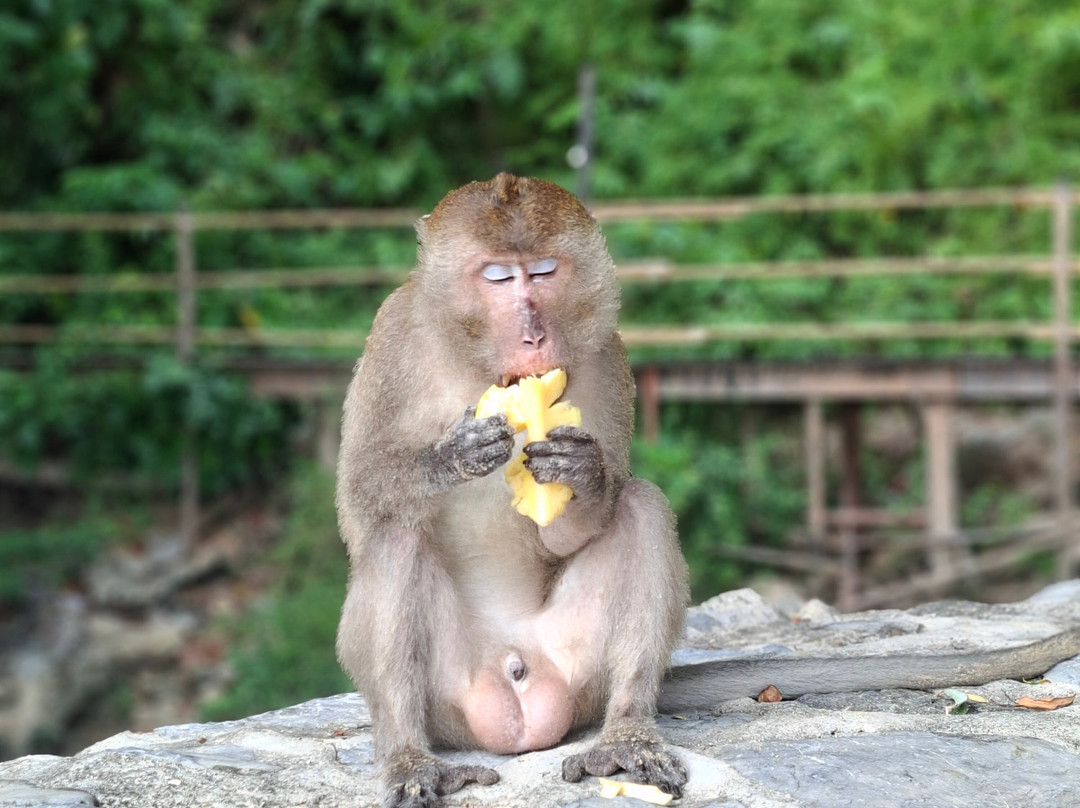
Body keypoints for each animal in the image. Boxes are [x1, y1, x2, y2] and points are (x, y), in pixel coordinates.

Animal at [335, 173, 1080, 808]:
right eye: (497, 277)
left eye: (543, 272)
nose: (532, 330)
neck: (479, 362)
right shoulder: (393, 336)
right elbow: (360, 500)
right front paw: (457, 455)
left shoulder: (604, 353)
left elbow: (584, 516)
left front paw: (584, 473)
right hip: (451, 700)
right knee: (396, 539)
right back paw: (409, 755)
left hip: (577, 678)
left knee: (642, 507)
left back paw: (627, 735)